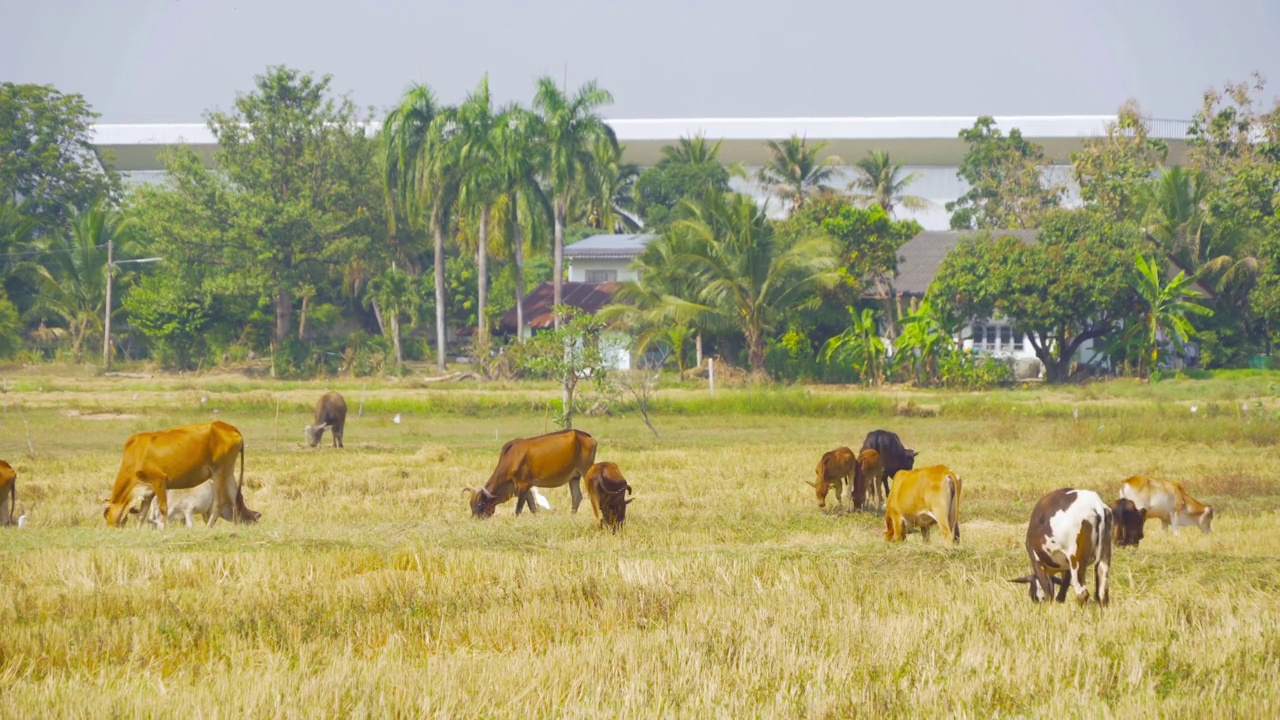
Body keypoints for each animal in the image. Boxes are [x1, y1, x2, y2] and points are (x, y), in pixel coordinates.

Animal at [103, 420, 245, 527]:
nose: (111, 528)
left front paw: (165, 529)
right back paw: (236, 526)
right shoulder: (148, 492)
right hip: (228, 472)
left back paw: (209, 527)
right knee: (235, 498)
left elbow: (163, 508)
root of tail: (227, 426)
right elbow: (142, 514)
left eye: (107, 515)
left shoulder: (159, 482)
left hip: (219, 471)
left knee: (219, 502)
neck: (136, 454)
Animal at [463, 425, 596, 515]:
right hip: (574, 476)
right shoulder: (526, 488)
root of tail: (587, 436)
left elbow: (518, 509)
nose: (475, 519)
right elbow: (532, 507)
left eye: (480, 504)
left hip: (586, 471)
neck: (510, 459)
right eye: (471, 505)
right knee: (577, 497)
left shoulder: (523, 485)